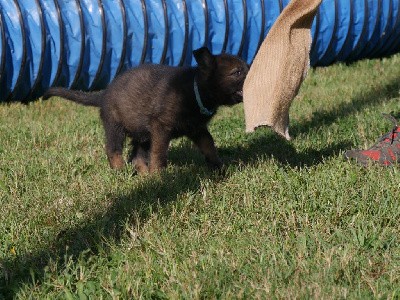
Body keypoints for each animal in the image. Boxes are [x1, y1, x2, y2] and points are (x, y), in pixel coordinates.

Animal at [44, 47, 250, 173]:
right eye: (237, 72)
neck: (195, 89)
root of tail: (103, 94)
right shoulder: (161, 127)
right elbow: (159, 154)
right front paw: (158, 175)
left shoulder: (197, 129)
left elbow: (209, 145)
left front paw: (219, 167)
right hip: (115, 126)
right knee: (113, 149)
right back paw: (120, 170)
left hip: (142, 134)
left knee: (137, 157)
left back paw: (143, 176)